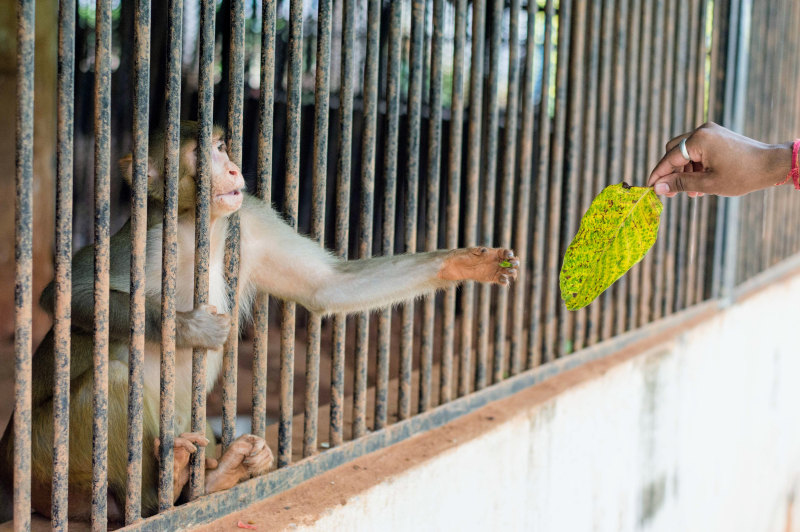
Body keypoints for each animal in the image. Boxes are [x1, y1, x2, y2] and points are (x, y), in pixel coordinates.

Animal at [0, 121, 520, 524]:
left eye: (223, 146)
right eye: (204, 152)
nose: (233, 168)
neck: (199, 229)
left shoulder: (247, 221)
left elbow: (327, 287)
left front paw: (466, 263)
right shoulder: (146, 240)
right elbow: (66, 293)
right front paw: (190, 327)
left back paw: (217, 473)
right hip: (47, 461)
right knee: (111, 376)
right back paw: (165, 495)